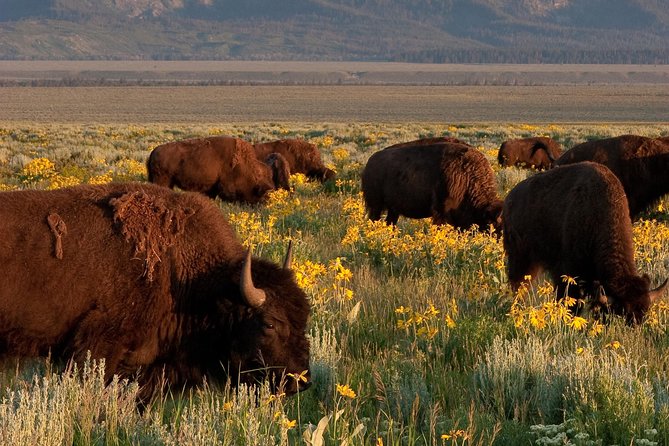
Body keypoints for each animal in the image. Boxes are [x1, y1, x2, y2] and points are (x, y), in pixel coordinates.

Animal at [360, 141, 500, 232]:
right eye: (491, 224)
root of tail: (370, 162)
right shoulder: (441, 211)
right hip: (376, 206)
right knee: (375, 219)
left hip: (393, 209)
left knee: (390, 222)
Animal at [504, 162, 664, 322]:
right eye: (622, 310)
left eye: (645, 312)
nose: (635, 325)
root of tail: (510, 199)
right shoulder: (567, 273)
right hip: (521, 259)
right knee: (518, 284)